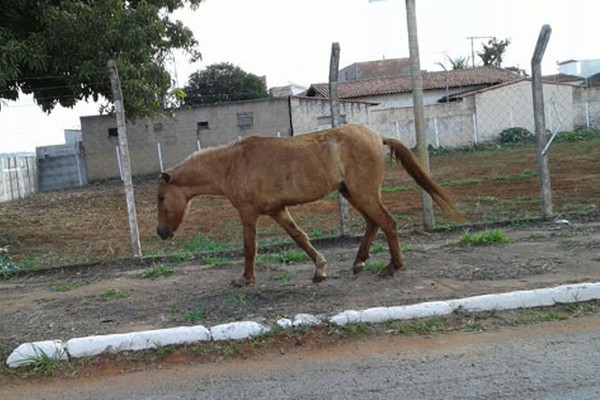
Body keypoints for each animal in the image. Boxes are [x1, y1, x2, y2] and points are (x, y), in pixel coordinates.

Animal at [156, 123, 454, 286]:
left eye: (160, 198)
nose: (161, 233)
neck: (232, 164)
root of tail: (376, 136)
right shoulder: (277, 211)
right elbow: (299, 237)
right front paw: (320, 269)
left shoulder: (249, 213)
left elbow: (249, 247)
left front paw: (245, 280)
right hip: (352, 193)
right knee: (373, 223)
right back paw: (359, 263)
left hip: (364, 193)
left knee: (387, 223)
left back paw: (392, 267)